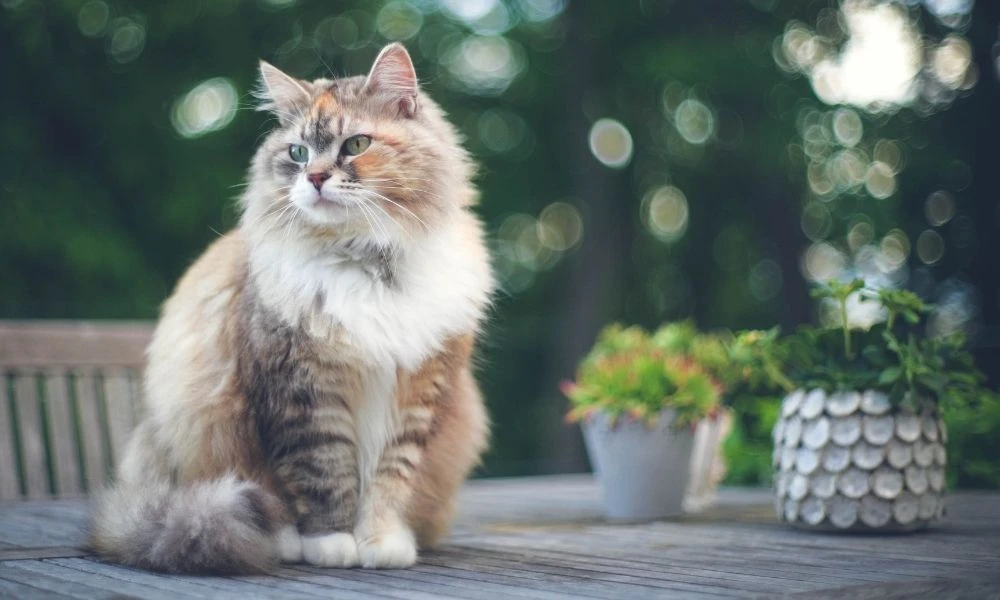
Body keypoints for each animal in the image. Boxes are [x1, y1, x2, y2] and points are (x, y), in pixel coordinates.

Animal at [93, 44, 496, 576]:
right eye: (297, 153)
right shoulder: (301, 391)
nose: (316, 177)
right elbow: (324, 475)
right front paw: (332, 544)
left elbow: (389, 481)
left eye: (356, 144)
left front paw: (381, 542)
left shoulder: (416, 395)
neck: (367, 262)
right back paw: (283, 541)